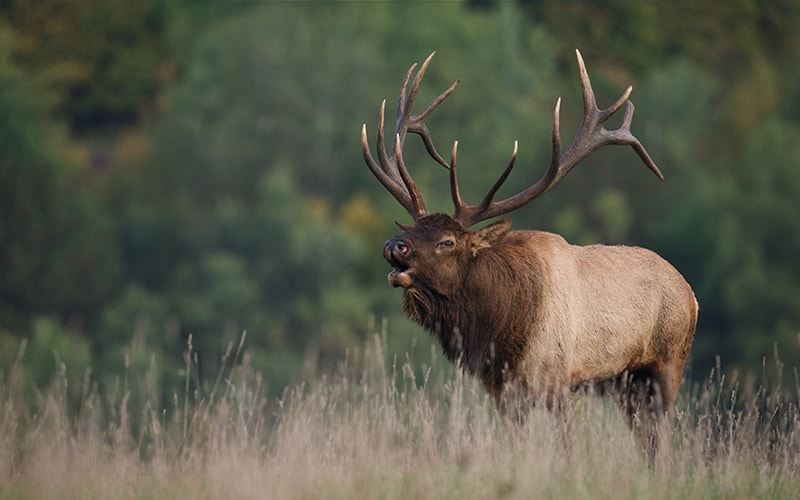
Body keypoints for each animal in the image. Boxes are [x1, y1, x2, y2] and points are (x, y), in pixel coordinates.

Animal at [360, 50, 696, 464]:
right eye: (411, 228)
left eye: (447, 243)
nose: (395, 245)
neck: (502, 330)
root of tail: (690, 293)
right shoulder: (503, 389)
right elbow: (514, 445)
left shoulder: (557, 378)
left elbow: (568, 446)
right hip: (625, 382)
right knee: (646, 438)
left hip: (667, 362)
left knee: (661, 439)